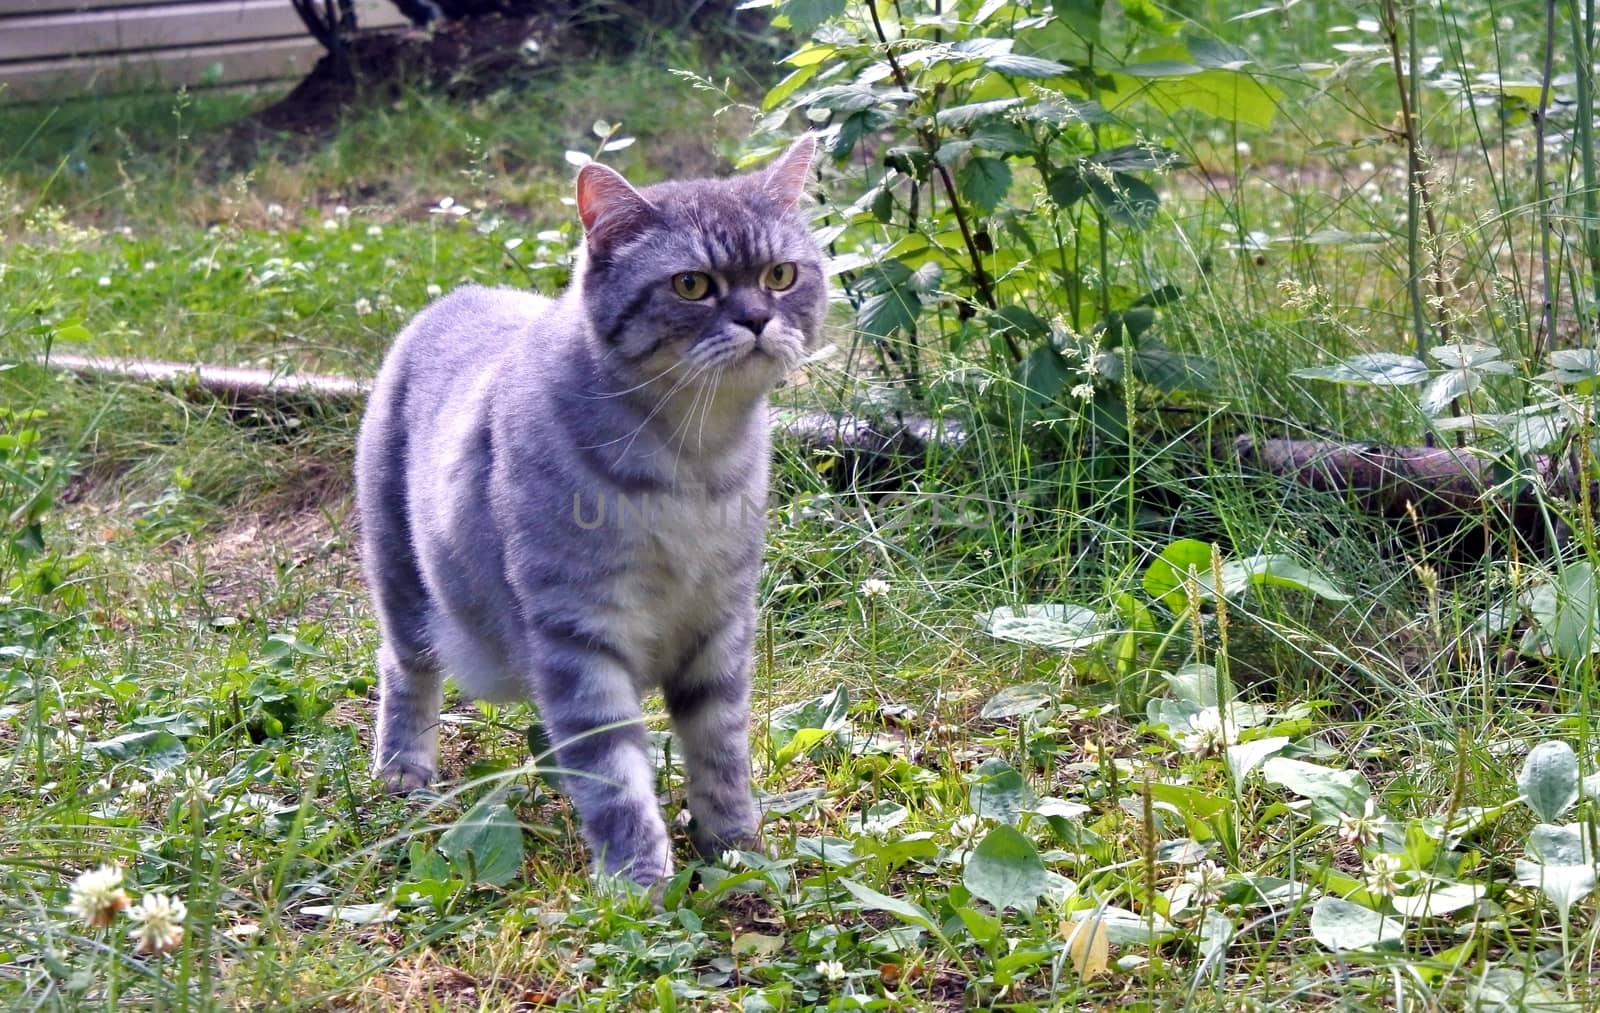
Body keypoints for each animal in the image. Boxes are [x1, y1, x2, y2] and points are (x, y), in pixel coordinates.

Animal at [353, 136, 825, 883]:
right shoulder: (579, 635)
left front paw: (735, 851)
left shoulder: (721, 627)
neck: (695, 458)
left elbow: (720, 752)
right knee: (404, 668)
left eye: (781, 274)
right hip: (403, 580)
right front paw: (641, 883)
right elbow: (616, 779)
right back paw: (404, 769)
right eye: (692, 285)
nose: (757, 318)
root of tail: (457, 297)